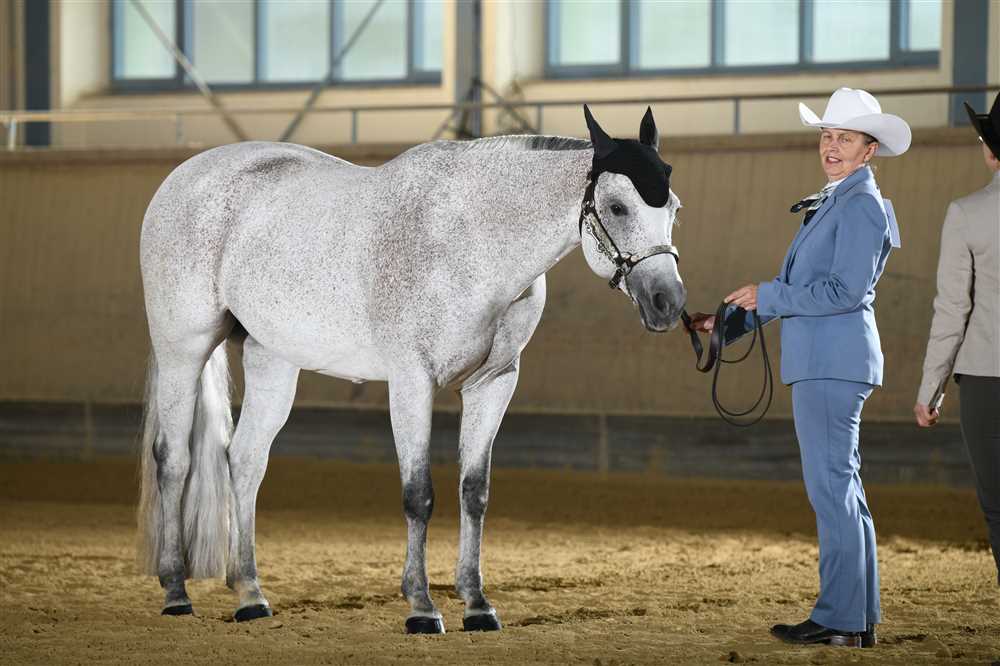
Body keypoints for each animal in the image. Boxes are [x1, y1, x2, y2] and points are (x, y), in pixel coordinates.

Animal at [137, 105, 686, 633]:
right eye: (617, 206)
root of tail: (184, 175)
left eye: (673, 208)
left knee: (246, 459)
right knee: (175, 460)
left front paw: (477, 605)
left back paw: (251, 594)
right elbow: (418, 494)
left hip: (272, 359)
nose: (668, 302)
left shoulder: (494, 383)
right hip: (183, 350)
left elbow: (474, 491)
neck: (471, 242)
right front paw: (422, 607)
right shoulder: (412, 382)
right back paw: (175, 592)